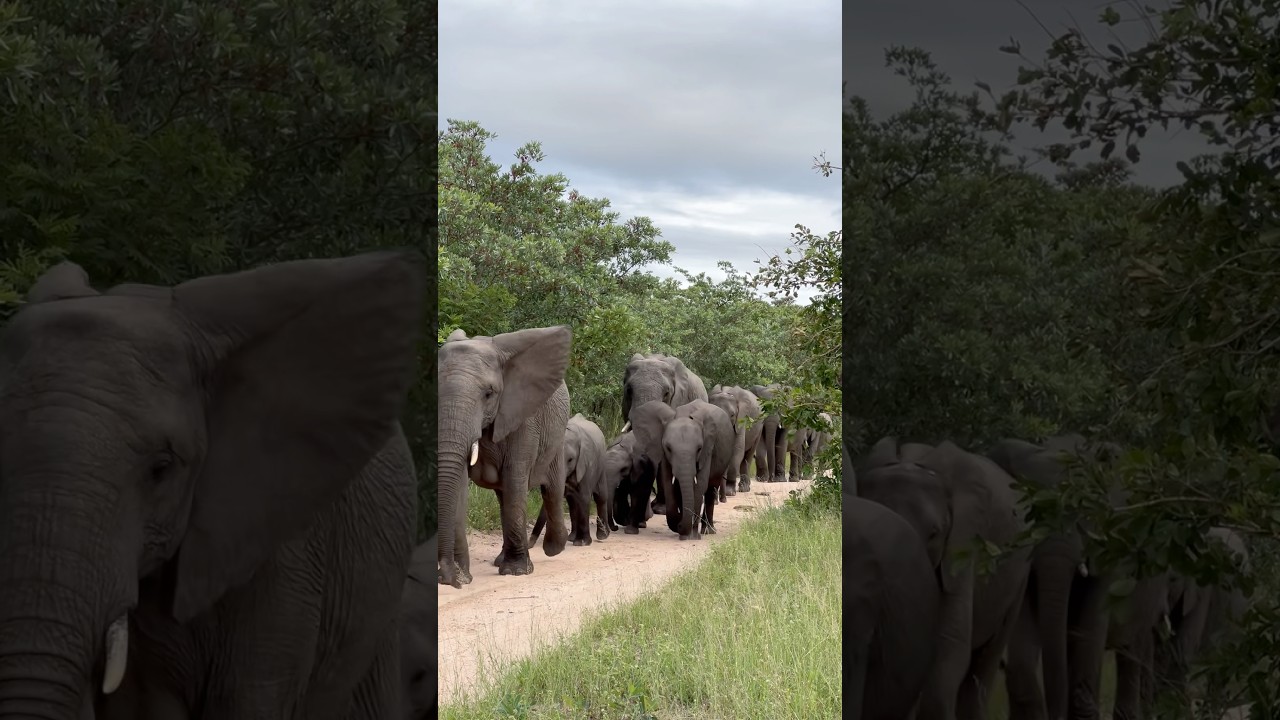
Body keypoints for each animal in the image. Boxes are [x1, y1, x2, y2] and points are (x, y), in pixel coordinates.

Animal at [437, 326, 572, 587]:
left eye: (489, 394)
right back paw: (501, 559)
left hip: (557, 437)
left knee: (551, 489)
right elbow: (460, 486)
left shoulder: (524, 419)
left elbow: (515, 479)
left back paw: (554, 547)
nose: (449, 580)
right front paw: (464, 575)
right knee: (504, 496)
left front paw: (516, 571)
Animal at [531, 414, 612, 546]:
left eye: (570, 460)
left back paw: (602, 536)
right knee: (572, 502)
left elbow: (584, 497)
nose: (529, 545)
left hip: (601, 465)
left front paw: (582, 543)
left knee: (600, 496)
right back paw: (571, 538)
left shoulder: (586, 463)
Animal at [630, 400, 734, 540]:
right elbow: (669, 485)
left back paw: (708, 531)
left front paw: (692, 536)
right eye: (668, 448)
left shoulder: (707, 450)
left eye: (699, 449)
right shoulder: (665, 455)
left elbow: (700, 485)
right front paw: (681, 527)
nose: (680, 526)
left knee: (710, 489)